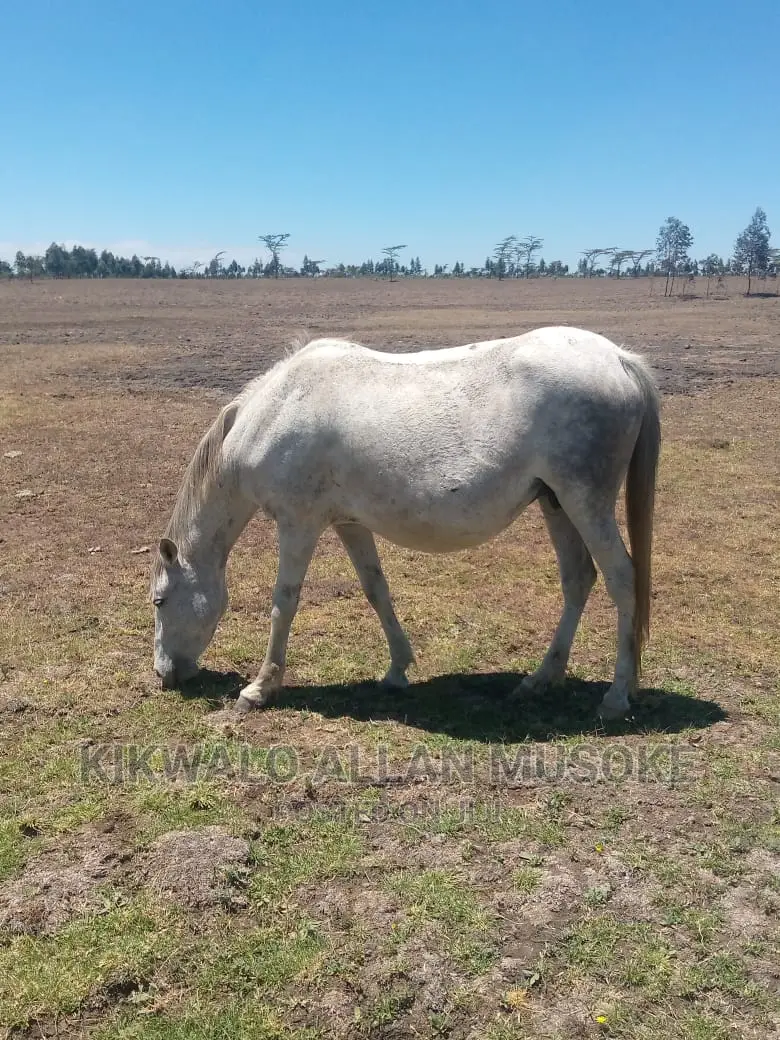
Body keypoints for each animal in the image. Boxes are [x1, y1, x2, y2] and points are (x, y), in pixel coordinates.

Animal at [151, 326, 660, 719]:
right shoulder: (349, 523)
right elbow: (376, 589)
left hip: (586, 503)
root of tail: (619, 359)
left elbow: (284, 603)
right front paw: (397, 670)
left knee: (622, 579)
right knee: (578, 579)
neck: (276, 408)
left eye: (160, 600)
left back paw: (616, 698)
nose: (164, 674)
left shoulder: (299, 524)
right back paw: (540, 679)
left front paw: (259, 688)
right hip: (556, 504)